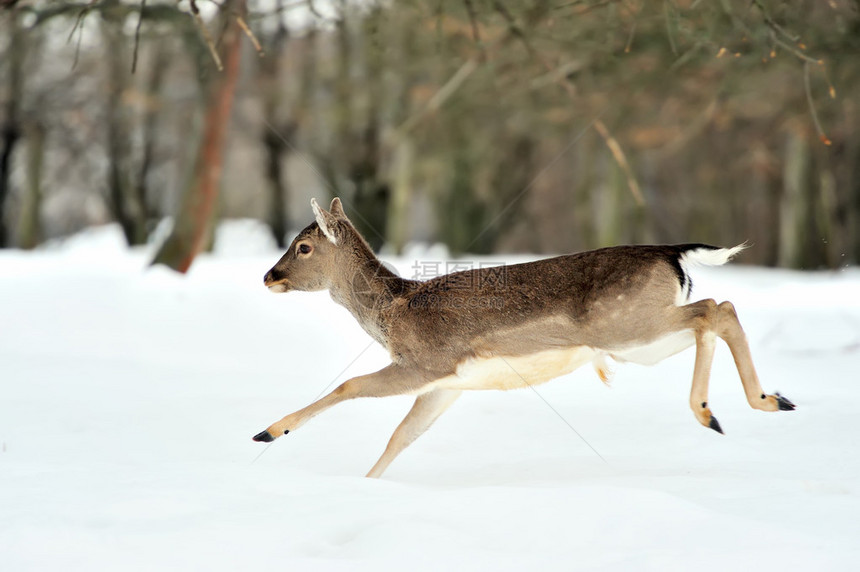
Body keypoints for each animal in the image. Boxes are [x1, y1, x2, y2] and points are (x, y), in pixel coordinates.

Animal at [252, 199, 796, 476]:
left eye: (303, 246)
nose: (269, 276)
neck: (392, 312)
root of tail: (672, 252)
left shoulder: (427, 361)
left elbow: (349, 385)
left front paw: (268, 432)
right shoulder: (447, 384)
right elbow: (401, 436)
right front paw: (367, 486)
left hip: (627, 327)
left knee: (713, 310)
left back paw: (709, 411)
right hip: (640, 340)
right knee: (720, 309)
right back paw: (771, 400)